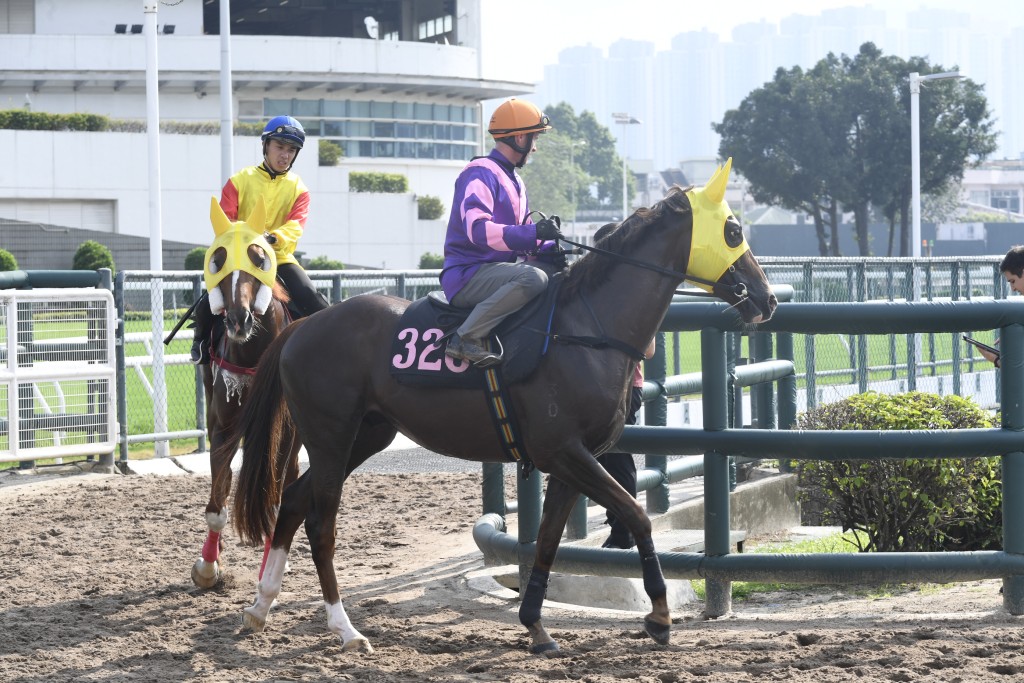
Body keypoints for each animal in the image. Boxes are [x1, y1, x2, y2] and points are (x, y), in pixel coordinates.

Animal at [189, 196, 301, 589]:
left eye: (258, 256)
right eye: (218, 259)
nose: (239, 319)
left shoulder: (285, 432)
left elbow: (274, 502)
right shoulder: (222, 426)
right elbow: (217, 506)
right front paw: (208, 566)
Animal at [224, 158, 774, 651]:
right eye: (732, 230)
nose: (765, 298)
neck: (585, 329)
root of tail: (303, 326)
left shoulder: (569, 461)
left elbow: (549, 539)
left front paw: (537, 627)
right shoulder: (566, 452)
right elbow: (636, 516)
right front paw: (659, 616)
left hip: (366, 434)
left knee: (293, 501)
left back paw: (260, 608)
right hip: (331, 435)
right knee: (320, 521)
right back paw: (345, 628)